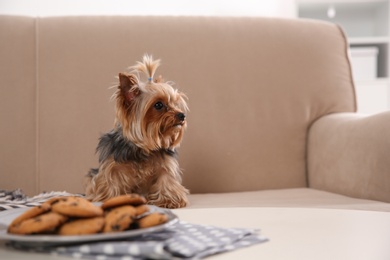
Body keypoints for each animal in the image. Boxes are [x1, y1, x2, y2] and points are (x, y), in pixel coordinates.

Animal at [85, 54, 189, 209]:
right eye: (158, 105)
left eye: (175, 103)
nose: (182, 115)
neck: (142, 148)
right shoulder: (112, 166)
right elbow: (111, 181)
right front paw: (112, 199)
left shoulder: (166, 165)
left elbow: (166, 179)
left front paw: (169, 200)